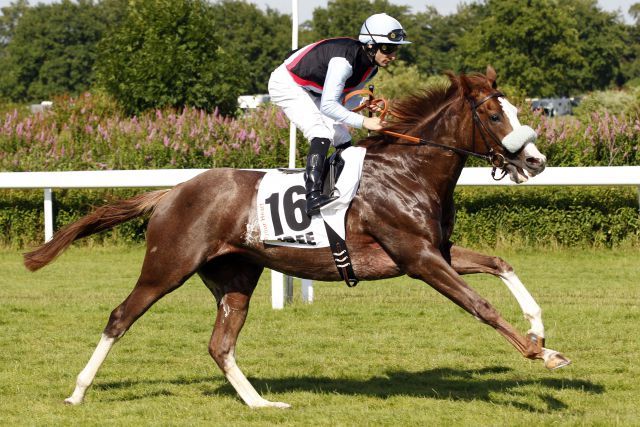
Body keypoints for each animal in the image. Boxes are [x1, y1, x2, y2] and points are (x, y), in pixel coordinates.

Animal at [23, 66, 568, 408]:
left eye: (517, 111)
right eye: (495, 116)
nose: (536, 161)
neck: (409, 171)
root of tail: (172, 191)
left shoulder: (439, 251)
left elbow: (500, 263)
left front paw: (539, 329)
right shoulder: (418, 258)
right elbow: (481, 306)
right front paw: (541, 354)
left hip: (235, 276)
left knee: (220, 344)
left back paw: (261, 403)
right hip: (168, 265)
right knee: (121, 317)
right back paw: (77, 392)